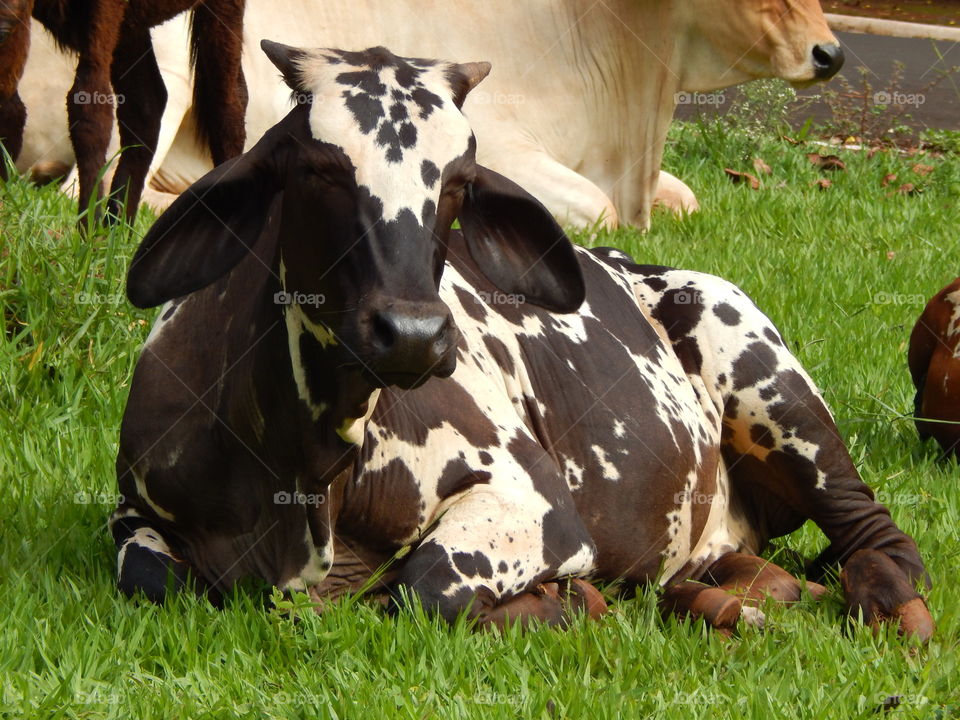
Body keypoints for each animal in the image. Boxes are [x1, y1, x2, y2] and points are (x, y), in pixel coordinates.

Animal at [111, 42, 932, 640]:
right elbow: (154, 578)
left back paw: (892, 607)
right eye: (319, 169)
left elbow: (422, 588)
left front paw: (565, 602)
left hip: (765, 378)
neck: (310, 477)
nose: (412, 333)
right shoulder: (133, 512)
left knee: (874, 531)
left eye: (458, 181)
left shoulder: (534, 502)